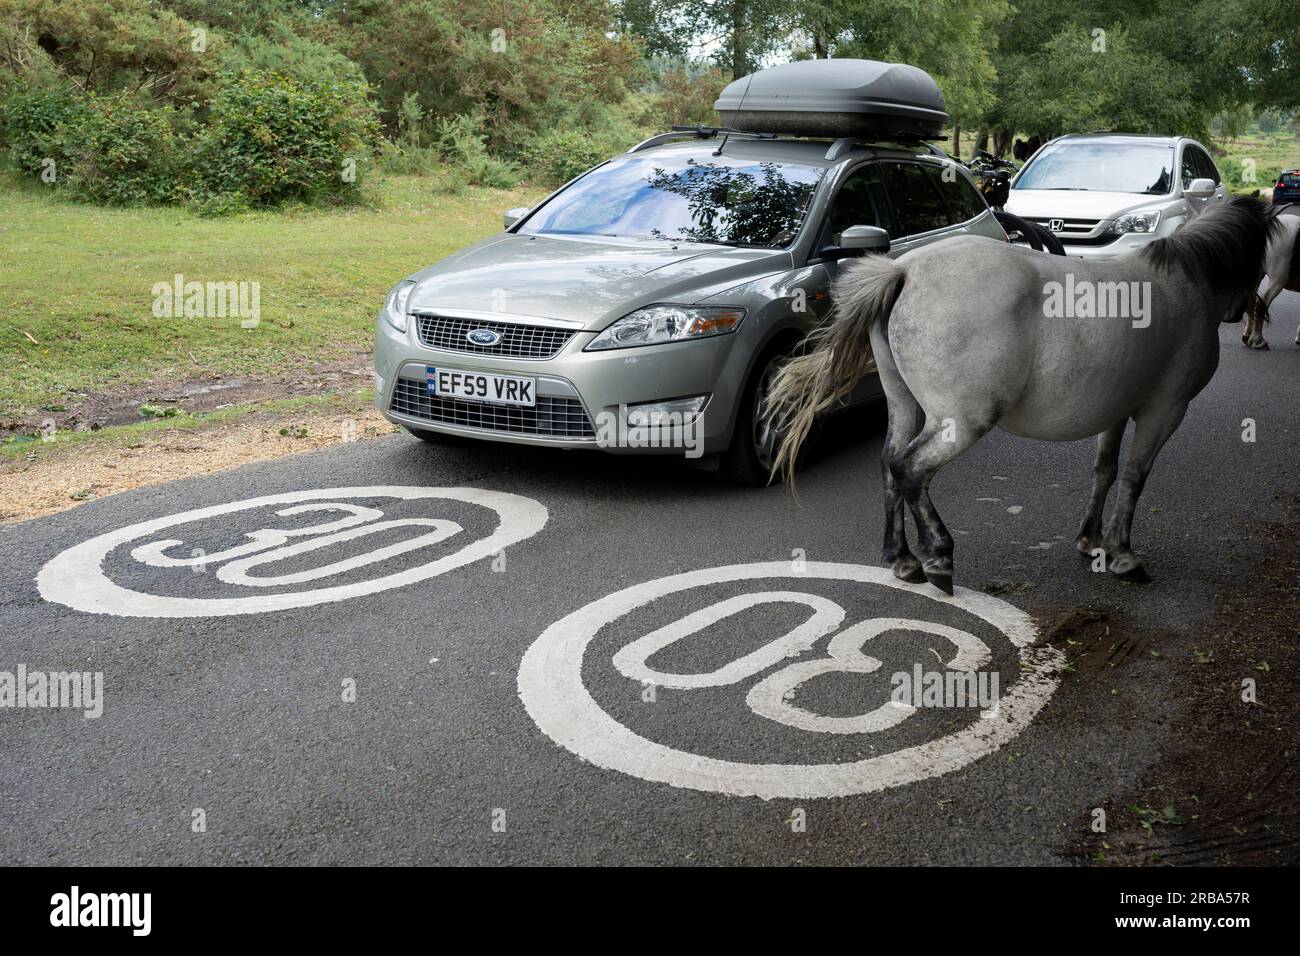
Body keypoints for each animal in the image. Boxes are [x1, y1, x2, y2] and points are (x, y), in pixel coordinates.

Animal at [764, 197, 1284, 595]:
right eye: (1260, 256)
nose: (1243, 313)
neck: (1184, 283)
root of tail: (904, 270)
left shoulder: (1119, 410)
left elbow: (1106, 470)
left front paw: (1091, 541)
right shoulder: (1164, 411)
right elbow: (1135, 478)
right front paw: (1123, 555)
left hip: (904, 405)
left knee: (890, 466)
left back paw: (904, 560)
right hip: (960, 421)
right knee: (909, 469)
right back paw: (938, 558)